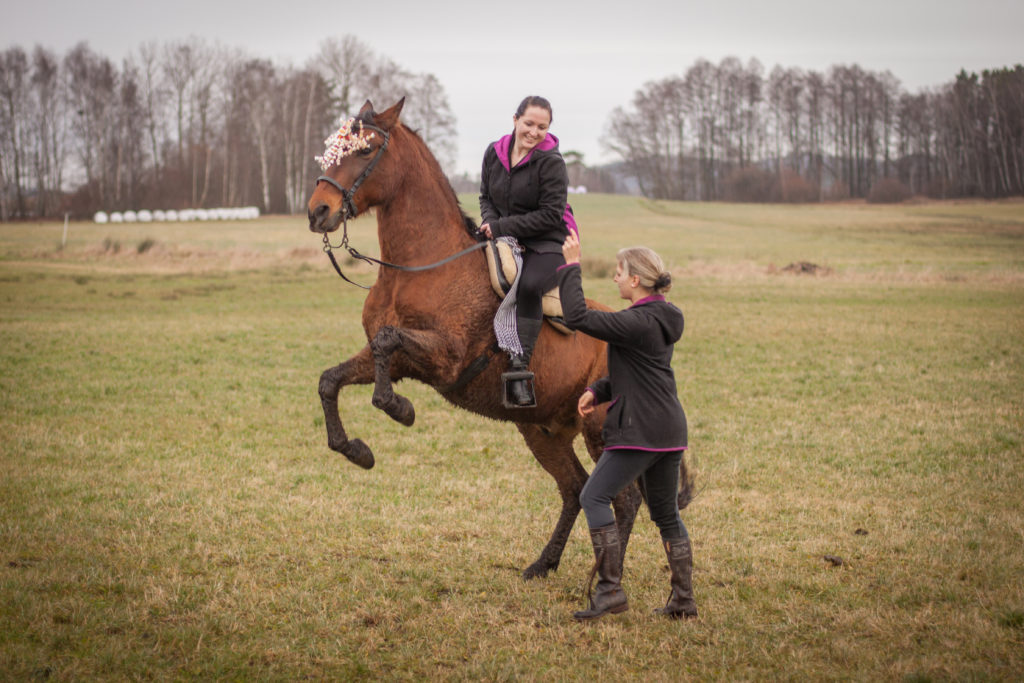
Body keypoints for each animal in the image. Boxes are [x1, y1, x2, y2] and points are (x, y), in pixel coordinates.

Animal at [303, 98, 638, 581]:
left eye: (365, 150)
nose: (317, 211)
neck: (421, 265)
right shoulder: (395, 361)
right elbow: (331, 379)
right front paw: (357, 450)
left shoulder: (447, 359)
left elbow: (386, 343)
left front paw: (400, 409)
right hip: (542, 431)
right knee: (574, 488)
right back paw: (543, 564)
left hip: (598, 429)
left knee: (623, 498)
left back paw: (604, 579)